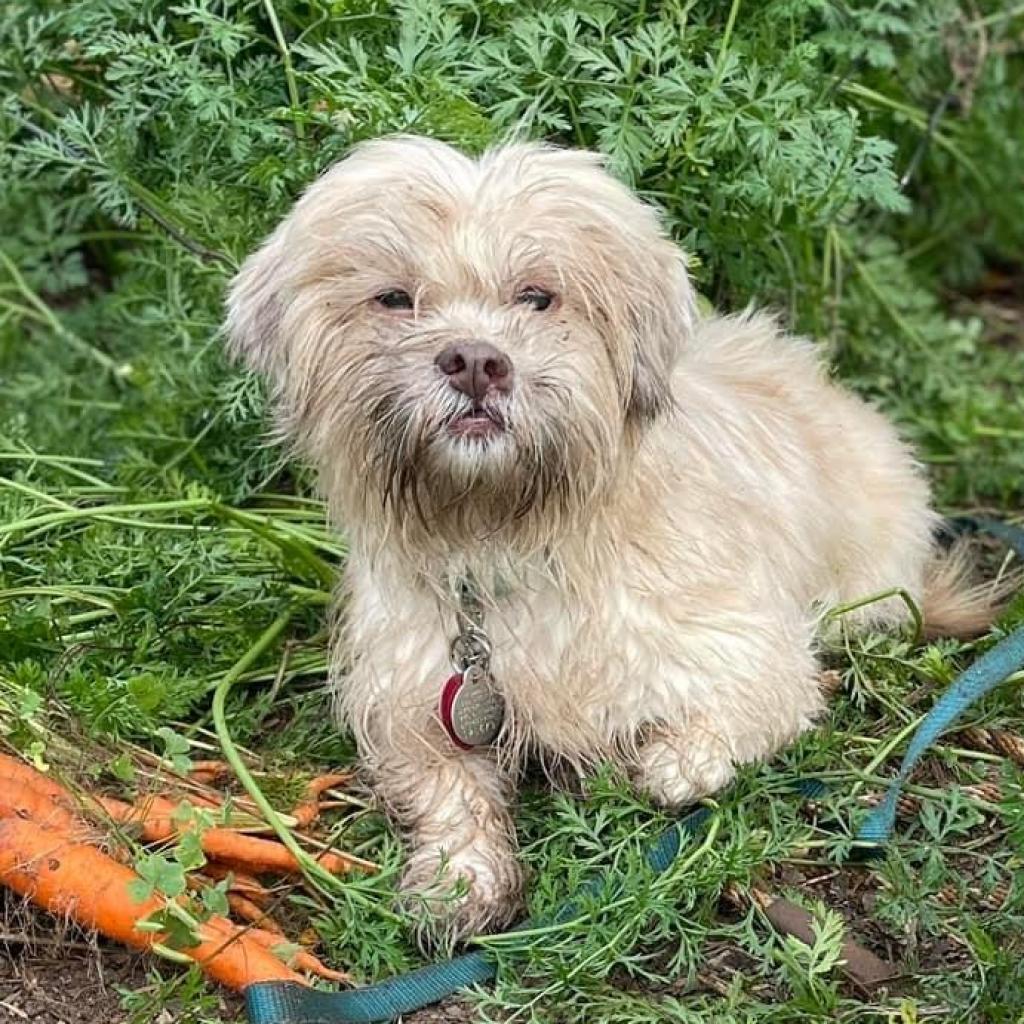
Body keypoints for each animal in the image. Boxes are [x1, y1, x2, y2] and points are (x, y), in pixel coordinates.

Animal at [228, 136, 1003, 942]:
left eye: (538, 296)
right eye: (394, 298)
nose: (475, 360)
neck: (506, 539)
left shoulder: (754, 655)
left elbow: (728, 726)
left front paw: (673, 764)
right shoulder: (410, 705)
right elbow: (448, 790)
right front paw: (460, 877)